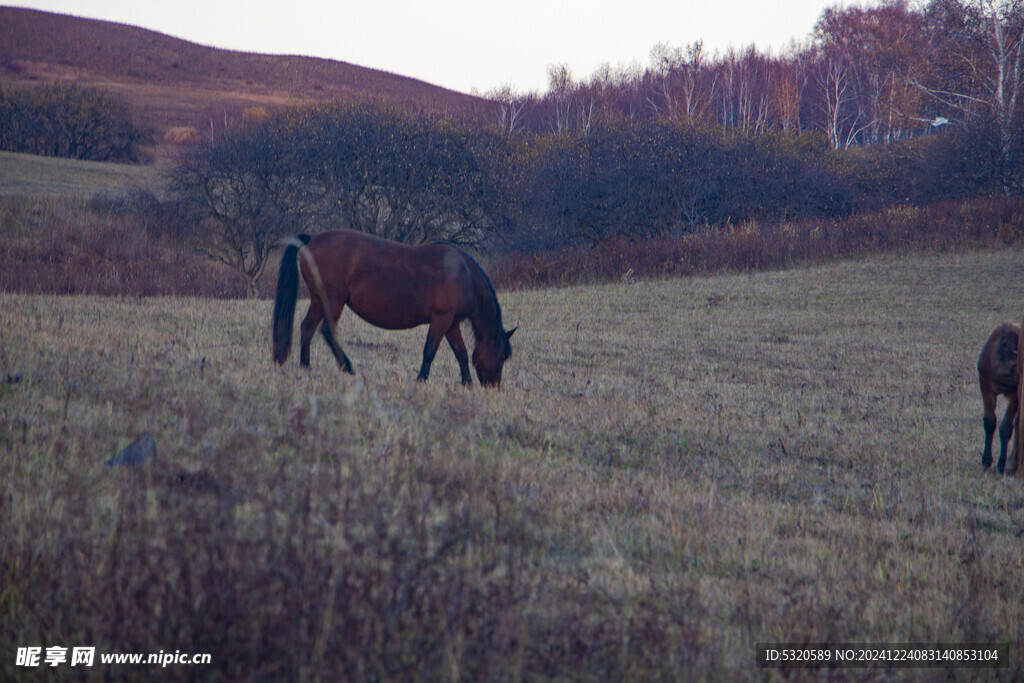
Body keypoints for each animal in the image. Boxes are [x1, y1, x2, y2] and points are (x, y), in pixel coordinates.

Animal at [272, 231, 516, 387]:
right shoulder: (441, 320)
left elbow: (461, 353)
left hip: (318, 301)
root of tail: (313, 240)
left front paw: (466, 383)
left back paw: (306, 366)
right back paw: (347, 368)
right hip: (333, 302)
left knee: (307, 328)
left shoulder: (451, 323)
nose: (493, 387)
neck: (465, 275)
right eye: (502, 355)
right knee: (326, 332)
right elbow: (430, 351)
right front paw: (421, 380)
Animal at [974, 323, 1015, 473]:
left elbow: (1005, 428)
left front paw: (1002, 463)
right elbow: (989, 422)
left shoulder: (1015, 395)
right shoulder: (985, 386)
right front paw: (986, 460)